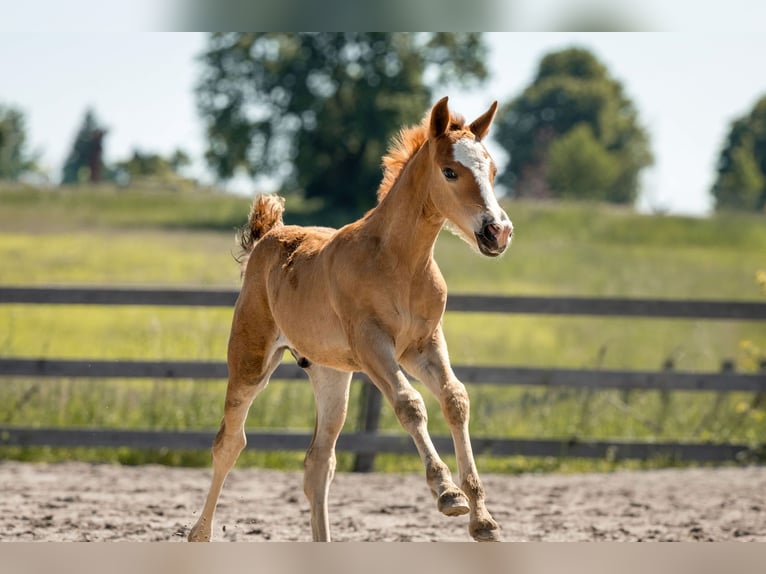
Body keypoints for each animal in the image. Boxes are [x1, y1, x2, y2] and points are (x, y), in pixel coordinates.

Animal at [190, 97, 516, 544]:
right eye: (450, 171)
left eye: (494, 171)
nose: (497, 231)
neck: (400, 264)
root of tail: (267, 236)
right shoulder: (371, 345)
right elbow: (410, 403)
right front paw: (447, 493)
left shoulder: (423, 344)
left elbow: (455, 399)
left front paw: (482, 518)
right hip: (250, 360)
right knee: (229, 442)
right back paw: (199, 533)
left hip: (330, 373)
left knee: (318, 462)